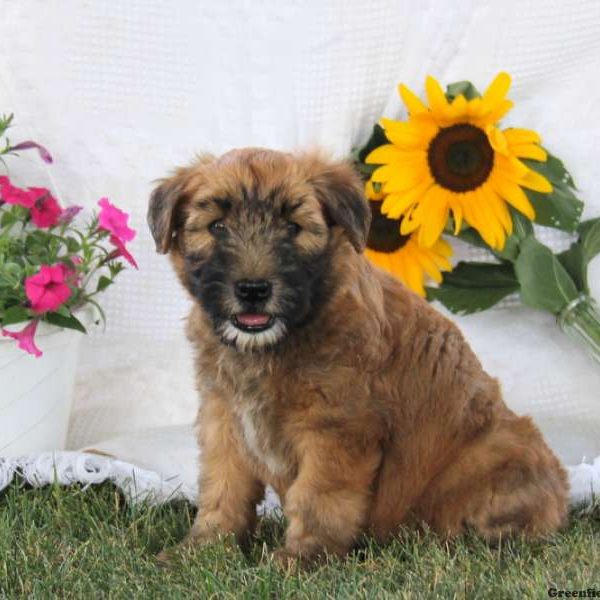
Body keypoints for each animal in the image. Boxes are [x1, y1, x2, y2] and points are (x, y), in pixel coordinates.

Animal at [148, 148, 568, 564]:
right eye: (217, 227)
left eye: (293, 229)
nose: (253, 290)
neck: (279, 341)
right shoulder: (225, 419)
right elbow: (223, 487)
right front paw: (204, 548)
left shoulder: (336, 430)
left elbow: (319, 496)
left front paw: (304, 556)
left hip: (498, 454)